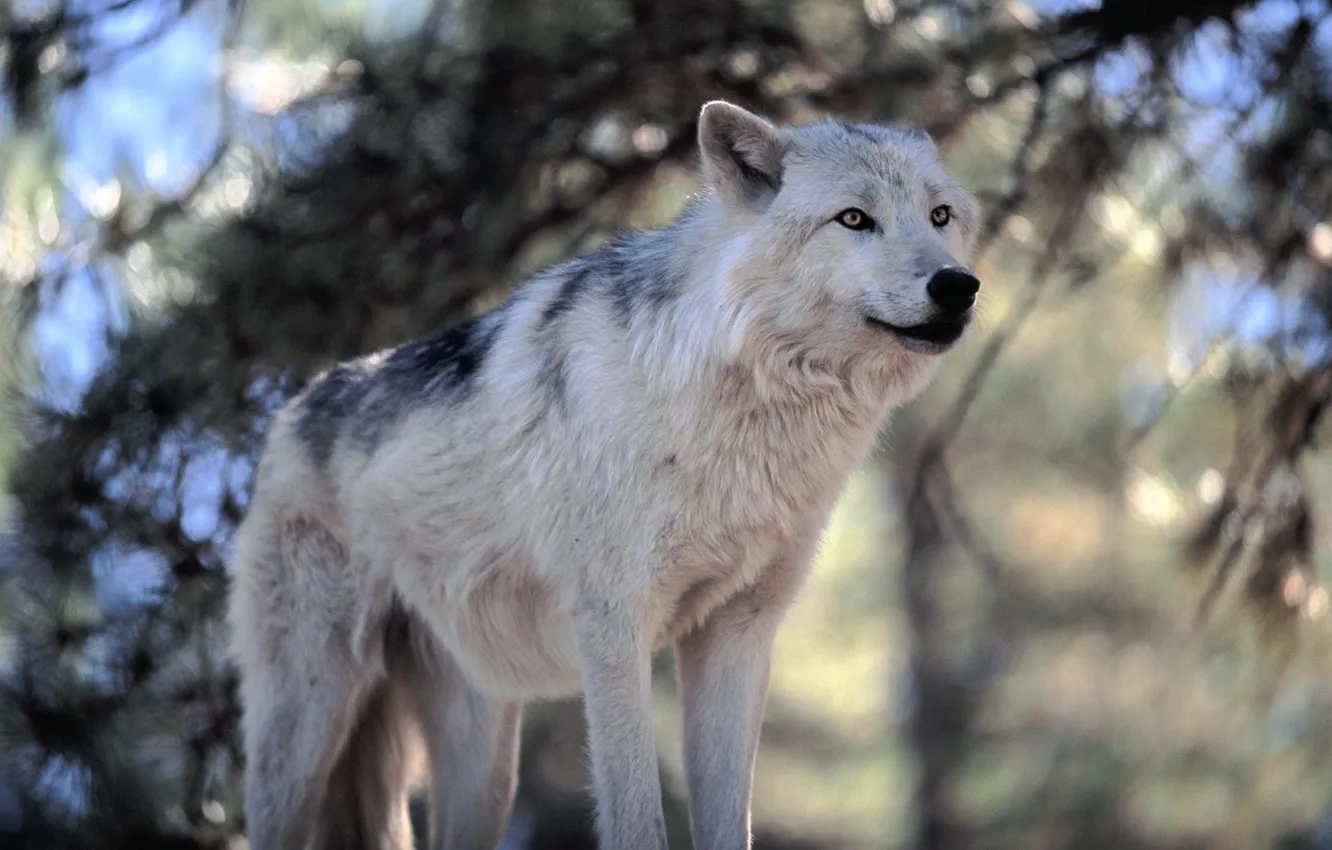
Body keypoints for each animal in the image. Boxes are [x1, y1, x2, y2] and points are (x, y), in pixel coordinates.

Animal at [227, 100, 980, 850]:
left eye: (940, 215)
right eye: (853, 218)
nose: (959, 286)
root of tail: (288, 412)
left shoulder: (737, 635)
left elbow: (728, 823)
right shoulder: (614, 628)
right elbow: (637, 818)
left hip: (482, 765)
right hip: (306, 729)